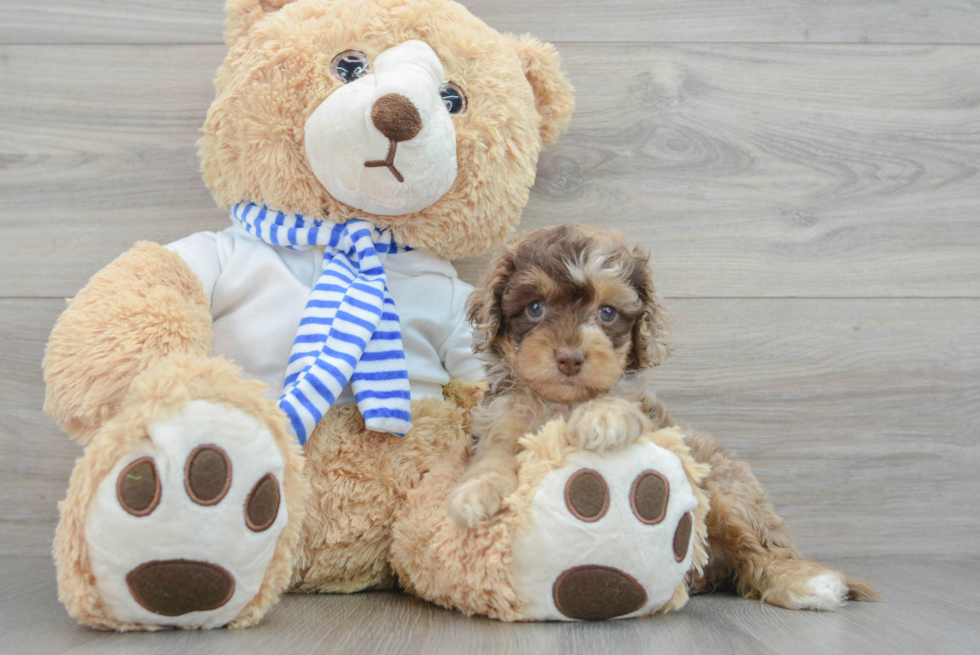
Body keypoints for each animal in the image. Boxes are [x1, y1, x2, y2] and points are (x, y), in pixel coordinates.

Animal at [448, 227, 876, 616]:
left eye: (607, 313)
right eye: (535, 308)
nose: (570, 358)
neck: (562, 403)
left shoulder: (655, 427)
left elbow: (622, 409)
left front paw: (604, 415)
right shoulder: (500, 422)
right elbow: (493, 457)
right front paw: (475, 492)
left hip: (729, 494)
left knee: (761, 554)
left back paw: (805, 583)